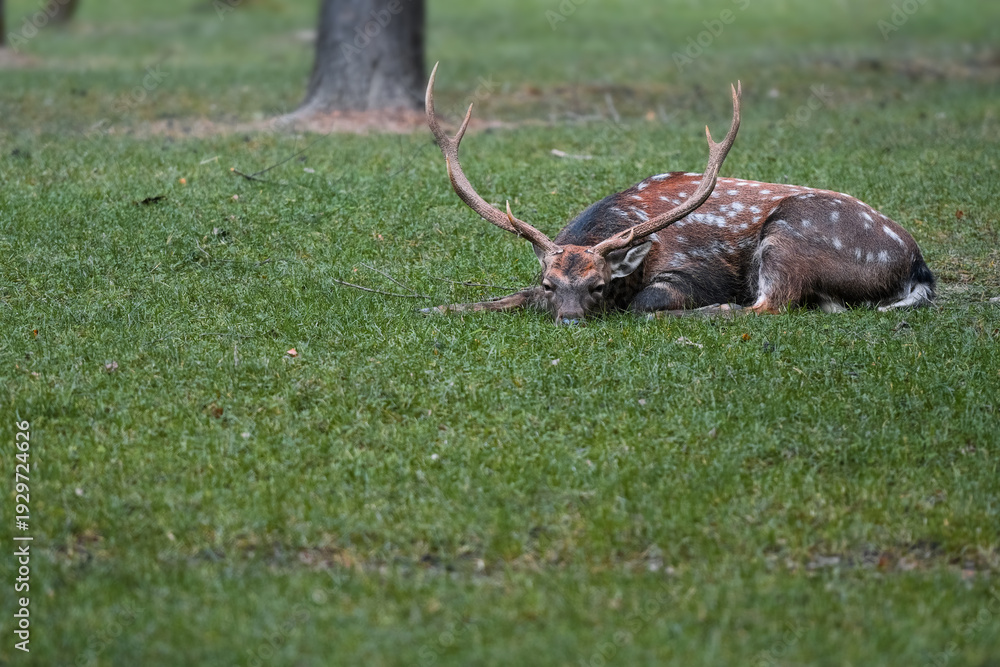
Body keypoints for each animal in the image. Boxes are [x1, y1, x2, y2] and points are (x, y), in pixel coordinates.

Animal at [422, 64, 935, 325]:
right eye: (551, 284)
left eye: (598, 285)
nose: (568, 318)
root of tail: (918, 267)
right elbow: (508, 295)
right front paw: (433, 306)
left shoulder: (691, 271)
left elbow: (647, 300)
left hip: (788, 239)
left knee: (767, 305)